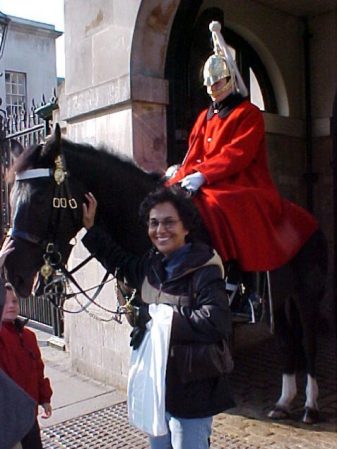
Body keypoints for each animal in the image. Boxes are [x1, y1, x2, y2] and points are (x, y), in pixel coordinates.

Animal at [3, 124, 326, 422]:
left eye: (40, 199)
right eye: (11, 198)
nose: (9, 269)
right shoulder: (139, 315)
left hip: (306, 296)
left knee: (309, 343)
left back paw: (310, 406)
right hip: (279, 301)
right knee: (286, 341)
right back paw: (284, 402)